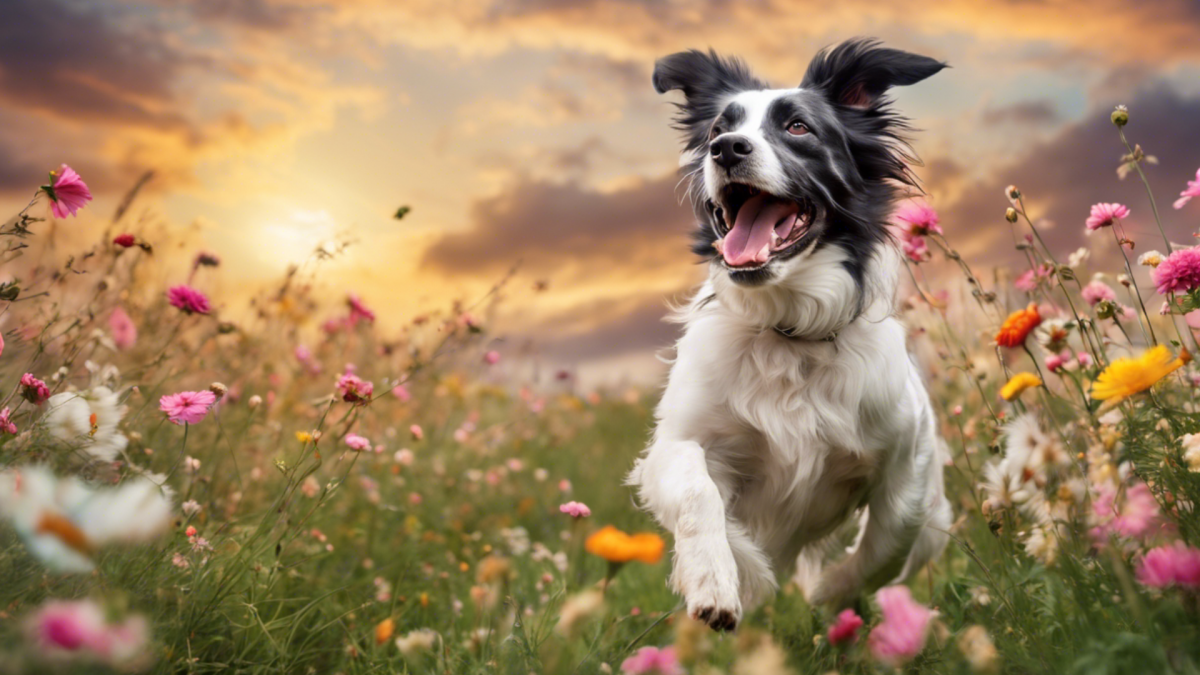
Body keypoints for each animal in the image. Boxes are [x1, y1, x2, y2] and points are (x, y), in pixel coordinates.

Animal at [628, 39, 955, 629]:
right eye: (717, 129)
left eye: (798, 127)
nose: (726, 149)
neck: (790, 331)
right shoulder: (679, 441)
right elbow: (701, 496)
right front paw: (722, 579)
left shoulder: (908, 457)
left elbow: (891, 537)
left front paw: (832, 592)